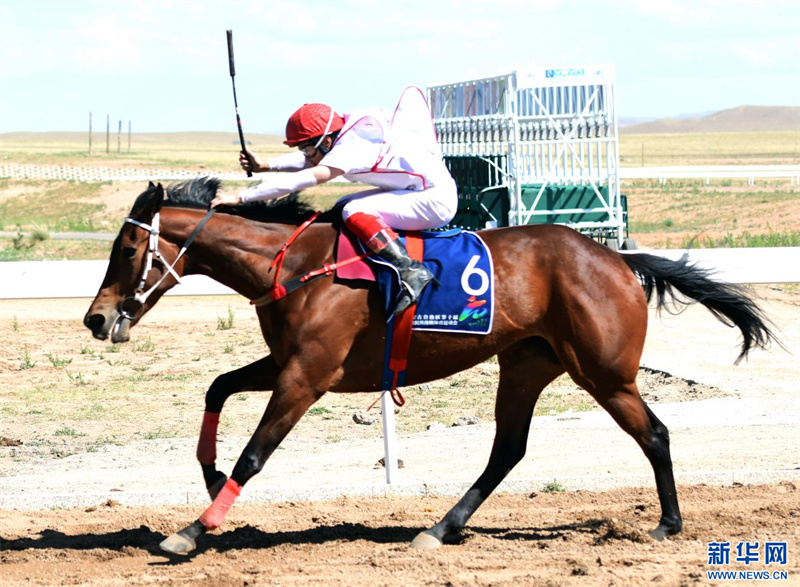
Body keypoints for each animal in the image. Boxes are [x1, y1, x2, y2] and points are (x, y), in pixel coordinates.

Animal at [84, 178, 780, 556]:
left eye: (128, 247)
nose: (96, 318)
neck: (295, 262)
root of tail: (618, 259)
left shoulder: (307, 376)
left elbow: (255, 453)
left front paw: (193, 530)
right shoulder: (290, 363)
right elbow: (218, 386)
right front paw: (208, 476)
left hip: (603, 372)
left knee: (654, 434)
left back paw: (667, 524)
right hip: (527, 364)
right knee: (508, 449)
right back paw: (439, 529)